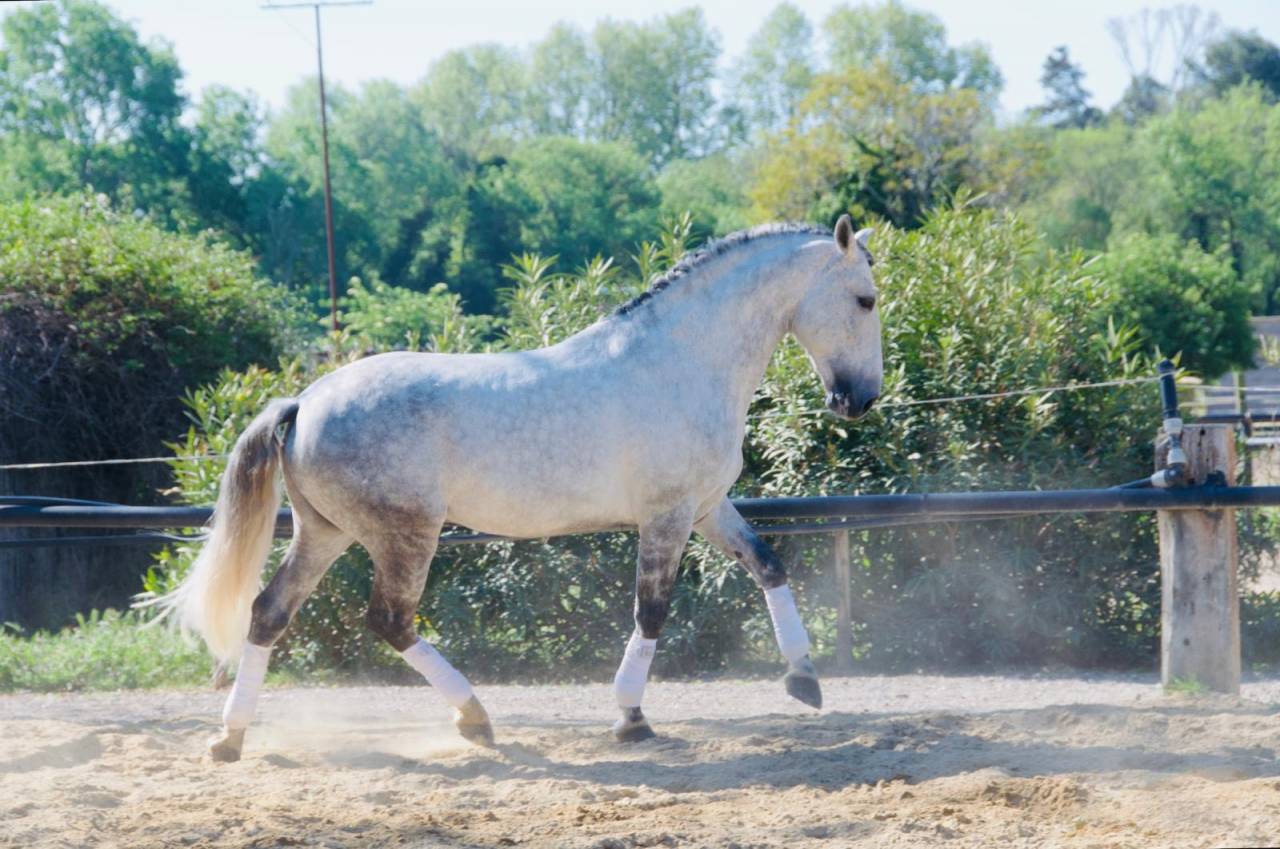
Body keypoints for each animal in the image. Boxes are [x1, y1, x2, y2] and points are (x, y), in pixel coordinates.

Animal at [157, 215, 882, 762]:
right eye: (865, 299)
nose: (859, 400)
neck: (682, 360)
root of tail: (304, 402)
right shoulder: (668, 516)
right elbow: (652, 611)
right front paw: (631, 718)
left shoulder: (706, 508)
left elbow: (767, 563)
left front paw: (804, 680)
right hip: (405, 534)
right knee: (390, 620)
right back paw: (474, 717)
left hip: (326, 533)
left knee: (268, 613)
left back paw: (231, 737)